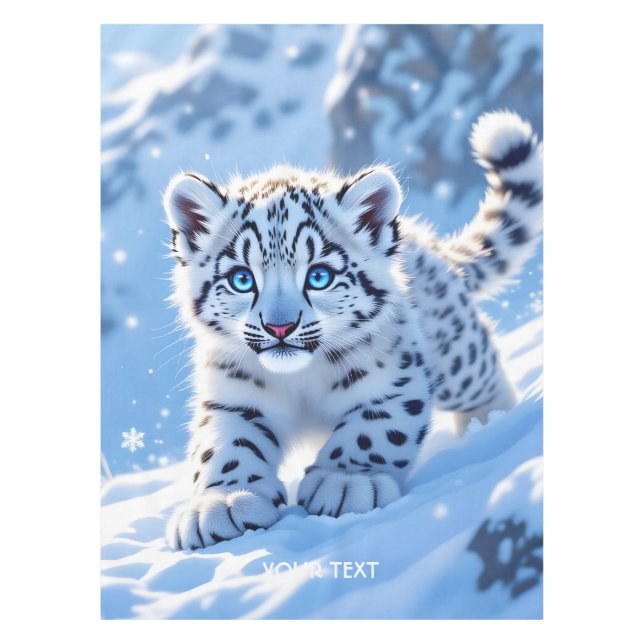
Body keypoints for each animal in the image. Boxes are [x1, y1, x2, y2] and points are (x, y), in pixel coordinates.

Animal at [162, 111, 543, 550]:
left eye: (319, 275)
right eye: (242, 279)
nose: (280, 326)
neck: (301, 383)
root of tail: (425, 241)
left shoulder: (396, 379)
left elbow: (375, 429)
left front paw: (345, 483)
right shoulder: (232, 395)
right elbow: (224, 445)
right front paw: (224, 503)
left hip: (457, 359)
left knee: (485, 378)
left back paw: (489, 426)